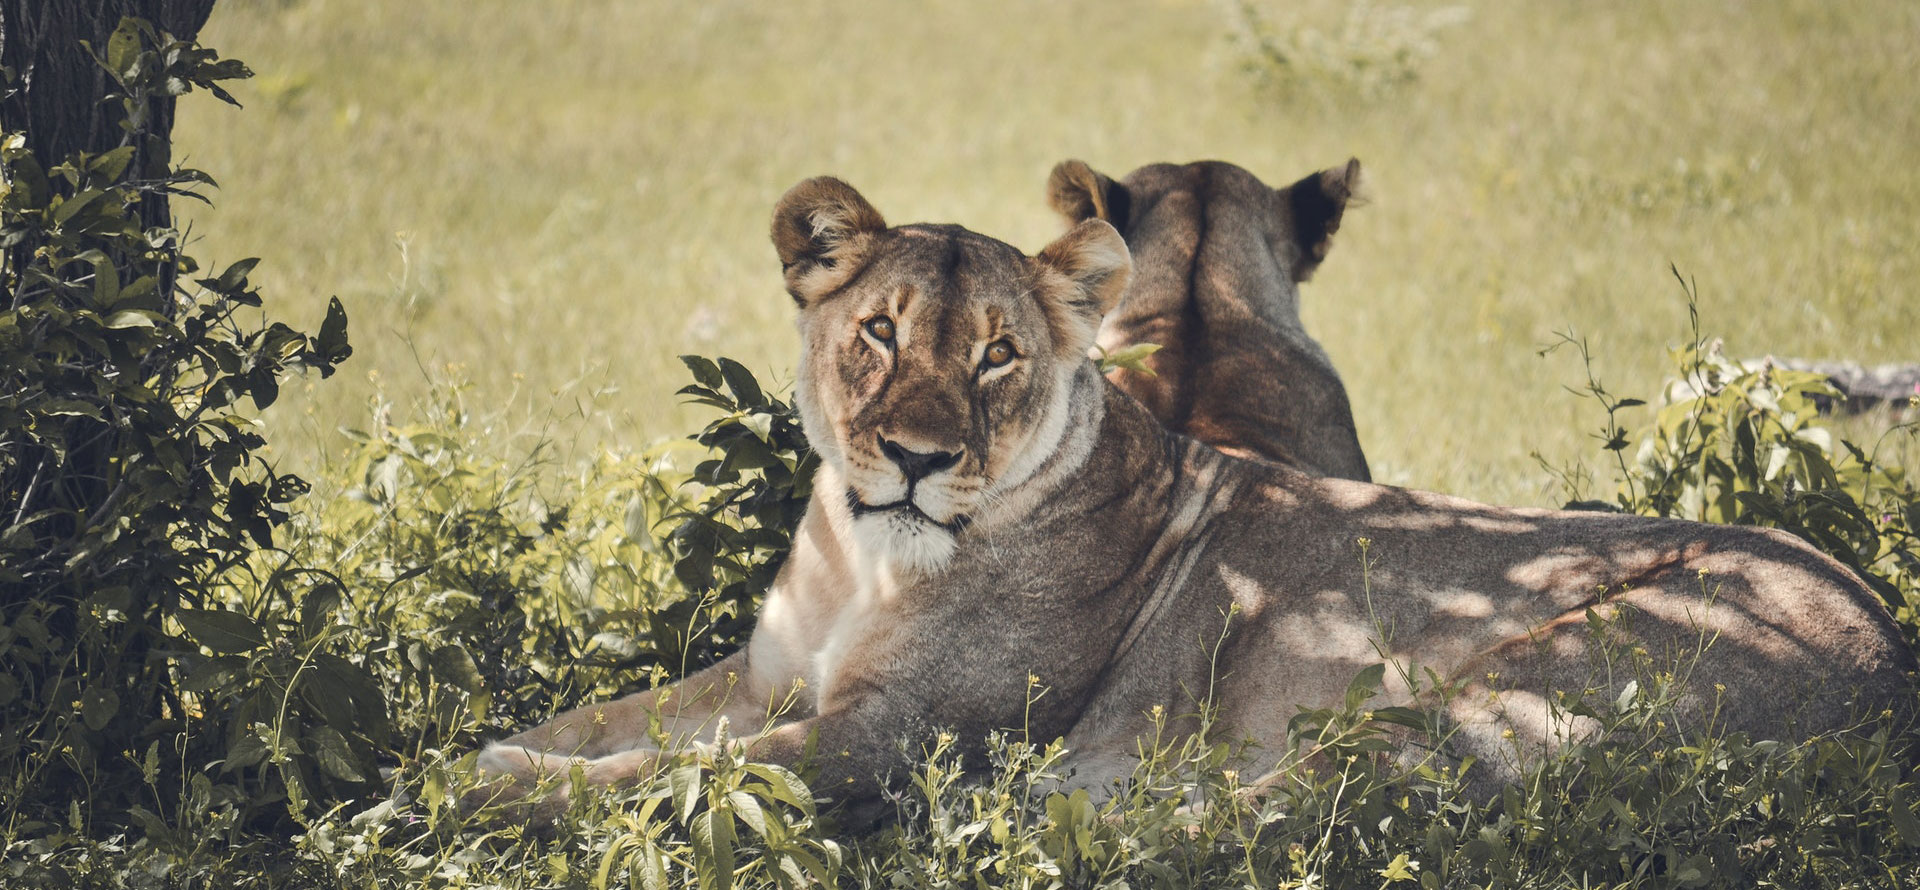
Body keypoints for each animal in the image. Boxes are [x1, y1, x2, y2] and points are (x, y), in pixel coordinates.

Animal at [472, 177, 1912, 824]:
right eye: (878, 332)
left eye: (998, 354)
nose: (919, 458)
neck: (869, 560)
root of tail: (1891, 657)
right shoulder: (765, 671)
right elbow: (609, 721)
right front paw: (480, 753)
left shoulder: (899, 734)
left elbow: (681, 768)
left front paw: (476, 794)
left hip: (1458, 694)